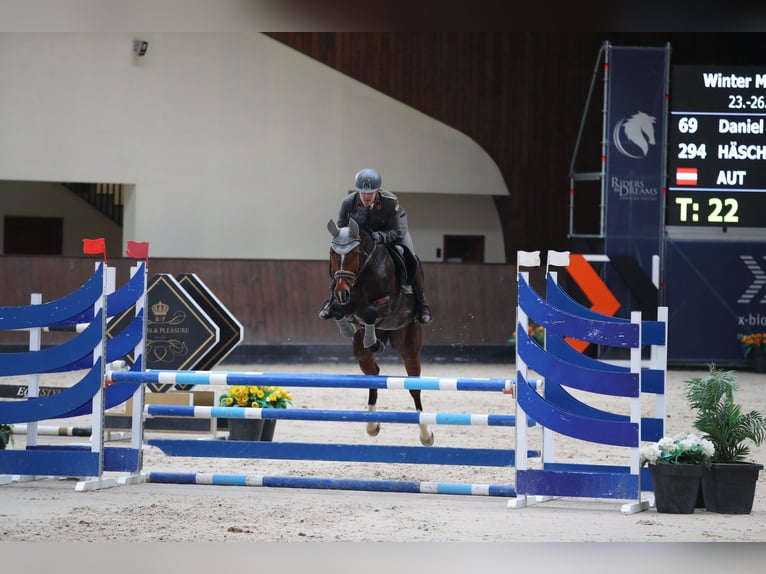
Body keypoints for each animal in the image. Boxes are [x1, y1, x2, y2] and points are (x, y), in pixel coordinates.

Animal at [326, 218, 438, 448]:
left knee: (414, 387)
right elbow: (339, 310)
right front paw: (344, 322)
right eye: (333, 253)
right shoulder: (345, 300)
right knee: (373, 374)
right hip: (362, 355)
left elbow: (370, 311)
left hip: (409, 345)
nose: (341, 291)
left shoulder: (388, 302)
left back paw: (426, 435)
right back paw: (372, 426)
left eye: (355, 253)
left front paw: (372, 337)